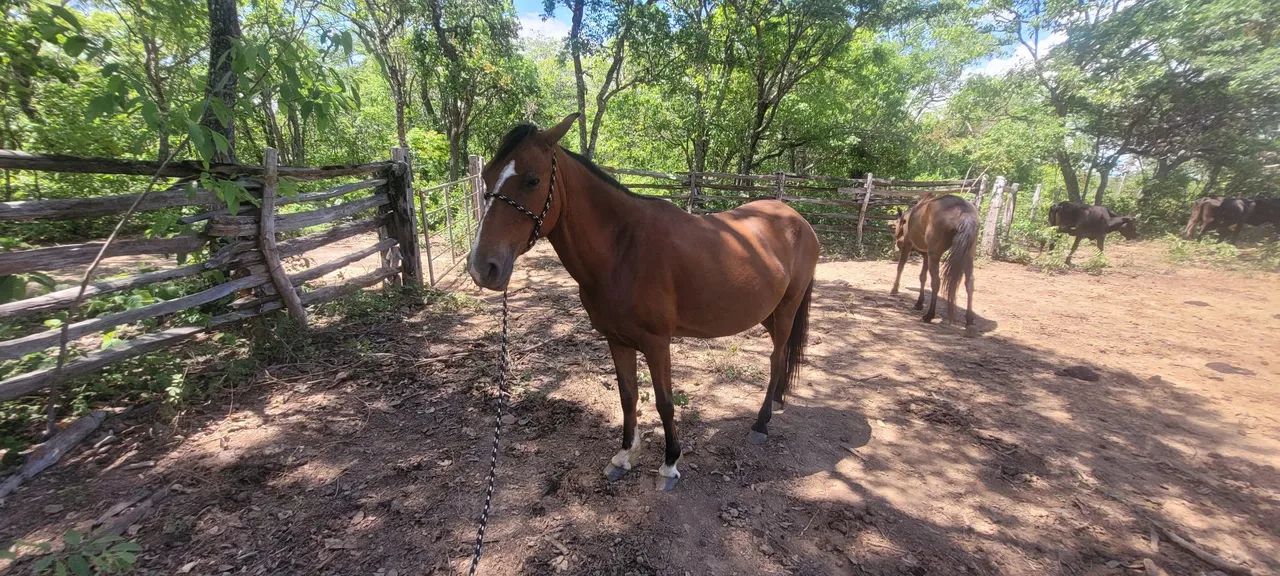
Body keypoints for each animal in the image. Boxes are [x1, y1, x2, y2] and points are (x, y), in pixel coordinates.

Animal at [467, 114, 820, 491]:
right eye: (486, 176)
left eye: (532, 180)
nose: (482, 267)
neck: (623, 249)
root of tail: (797, 219)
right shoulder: (617, 340)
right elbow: (628, 396)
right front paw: (624, 456)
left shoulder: (656, 342)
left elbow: (665, 402)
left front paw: (670, 463)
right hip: (768, 313)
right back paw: (778, 400)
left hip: (786, 310)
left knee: (776, 358)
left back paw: (761, 423)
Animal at [889, 193, 979, 335]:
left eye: (897, 223)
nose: (897, 242)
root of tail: (963, 210)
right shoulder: (926, 255)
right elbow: (922, 277)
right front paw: (919, 303)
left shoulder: (909, 246)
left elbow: (900, 267)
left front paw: (894, 289)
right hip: (967, 255)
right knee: (969, 283)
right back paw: (969, 320)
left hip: (935, 255)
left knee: (936, 281)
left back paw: (929, 315)